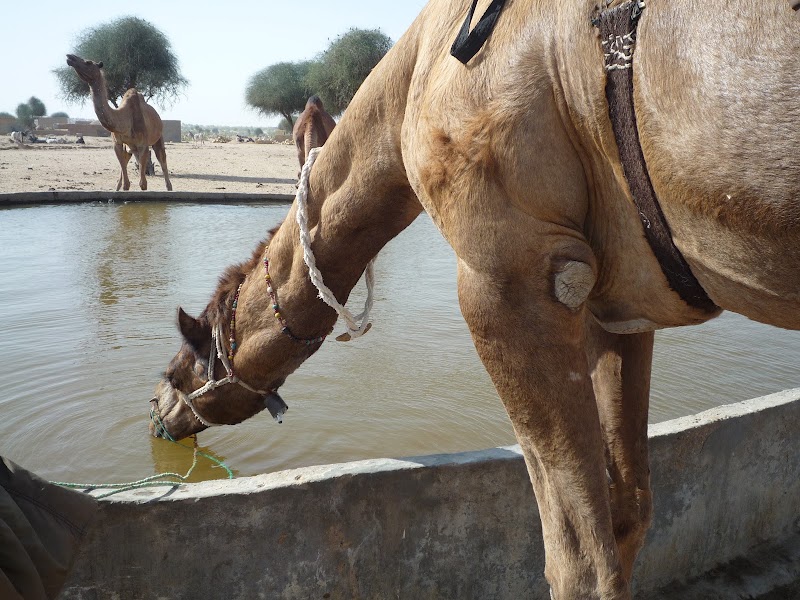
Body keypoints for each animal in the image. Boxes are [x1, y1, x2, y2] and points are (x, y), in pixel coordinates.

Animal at [65, 54, 172, 191]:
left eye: (88, 62)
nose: (70, 57)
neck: (124, 119)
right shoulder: (117, 143)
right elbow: (126, 183)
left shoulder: (143, 144)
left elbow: (143, 184)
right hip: (130, 147)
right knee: (126, 163)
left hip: (157, 139)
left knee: (162, 159)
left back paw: (169, 187)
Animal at [149, 1, 800, 598]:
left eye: (183, 366)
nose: (156, 412)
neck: (415, 75)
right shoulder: (620, 304)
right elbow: (629, 516)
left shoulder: (513, 274)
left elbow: (580, 561)